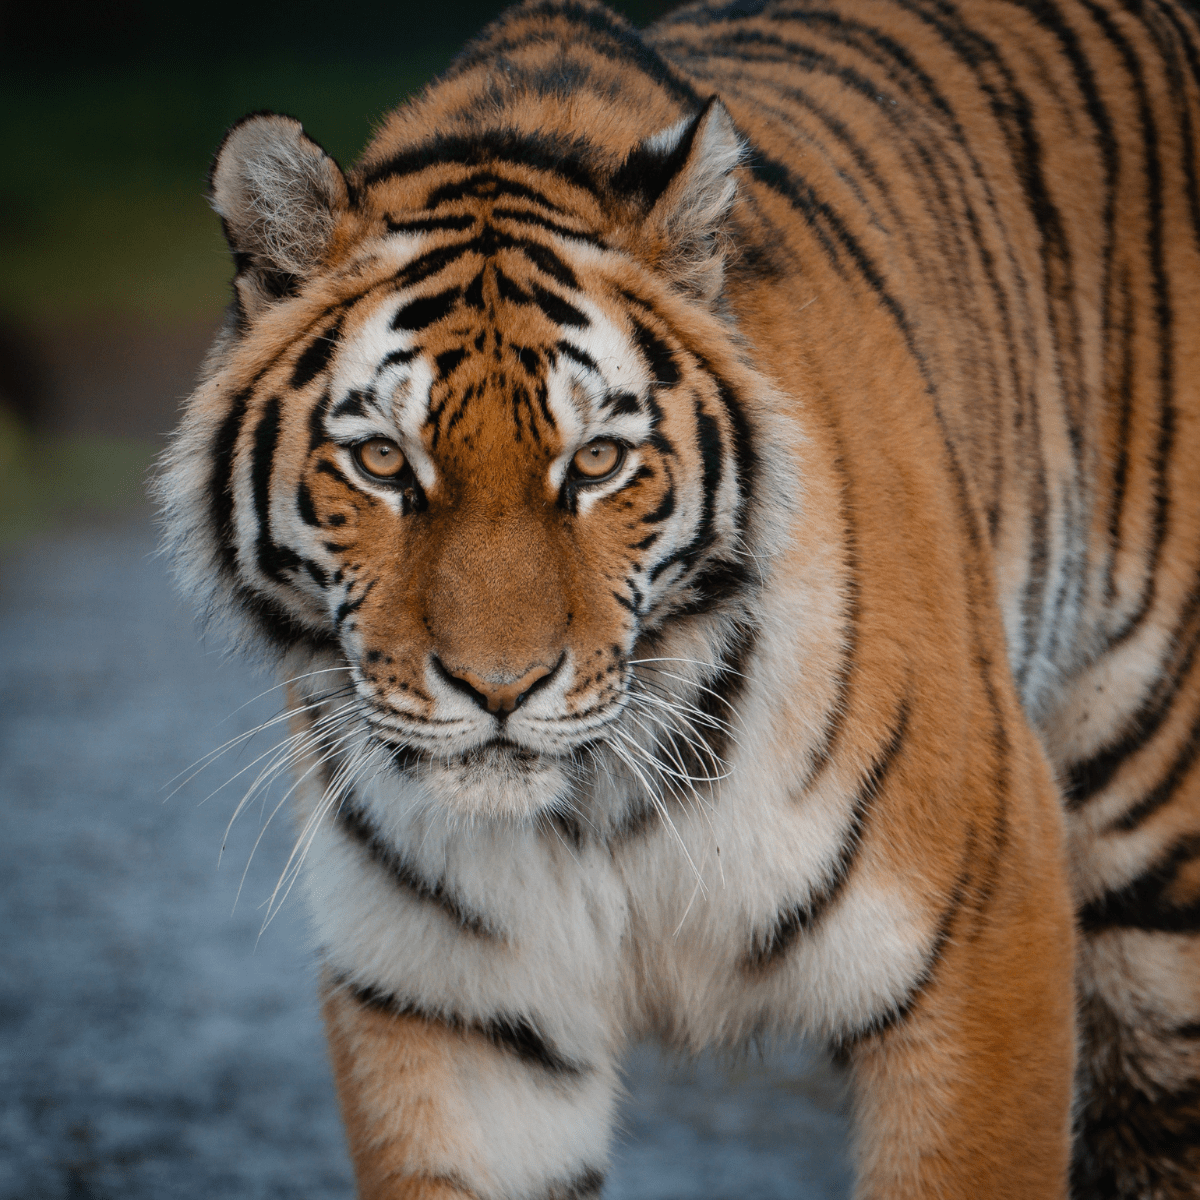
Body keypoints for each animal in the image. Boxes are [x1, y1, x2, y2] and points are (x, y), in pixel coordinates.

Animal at [156, 0, 1200, 1194]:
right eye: (382, 462)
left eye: (599, 462)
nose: (500, 690)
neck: (594, 814)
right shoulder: (456, 1019)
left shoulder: (982, 939)